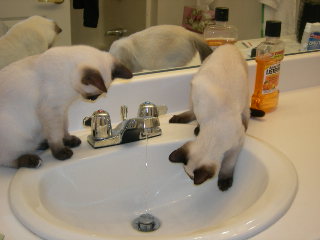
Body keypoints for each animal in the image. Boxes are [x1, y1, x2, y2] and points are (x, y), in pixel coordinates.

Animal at [0, 45, 132, 169]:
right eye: (95, 95)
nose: (92, 99)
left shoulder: (62, 110)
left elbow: (64, 128)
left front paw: (69, 141)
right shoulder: (52, 110)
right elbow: (56, 136)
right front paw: (61, 152)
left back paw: (42, 144)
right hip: (16, 137)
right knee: (7, 160)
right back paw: (33, 160)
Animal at [169, 44, 249, 191]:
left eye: (191, 177)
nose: (190, 180)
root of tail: (228, 45)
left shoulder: (236, 145)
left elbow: (228, 165)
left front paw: (224, 182)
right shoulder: (199, 106)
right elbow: (198, 119)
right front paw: (197, 129)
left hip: (245, 95)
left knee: (247, 114)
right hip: (195, 86)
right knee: (191, 111)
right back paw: (180, 120)